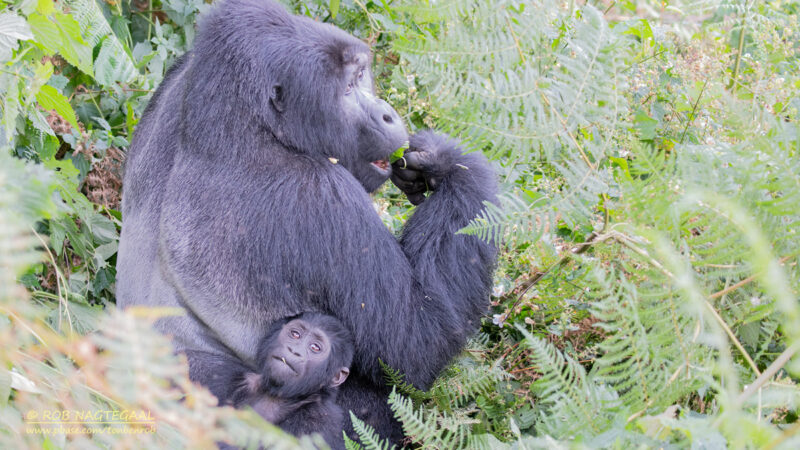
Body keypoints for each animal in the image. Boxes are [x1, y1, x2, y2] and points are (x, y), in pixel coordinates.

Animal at [194, 312, 354, 450]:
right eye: (295, 334)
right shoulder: (221, 373)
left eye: (315, 347)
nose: (294, 350)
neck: (276, 396)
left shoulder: (318, 420)